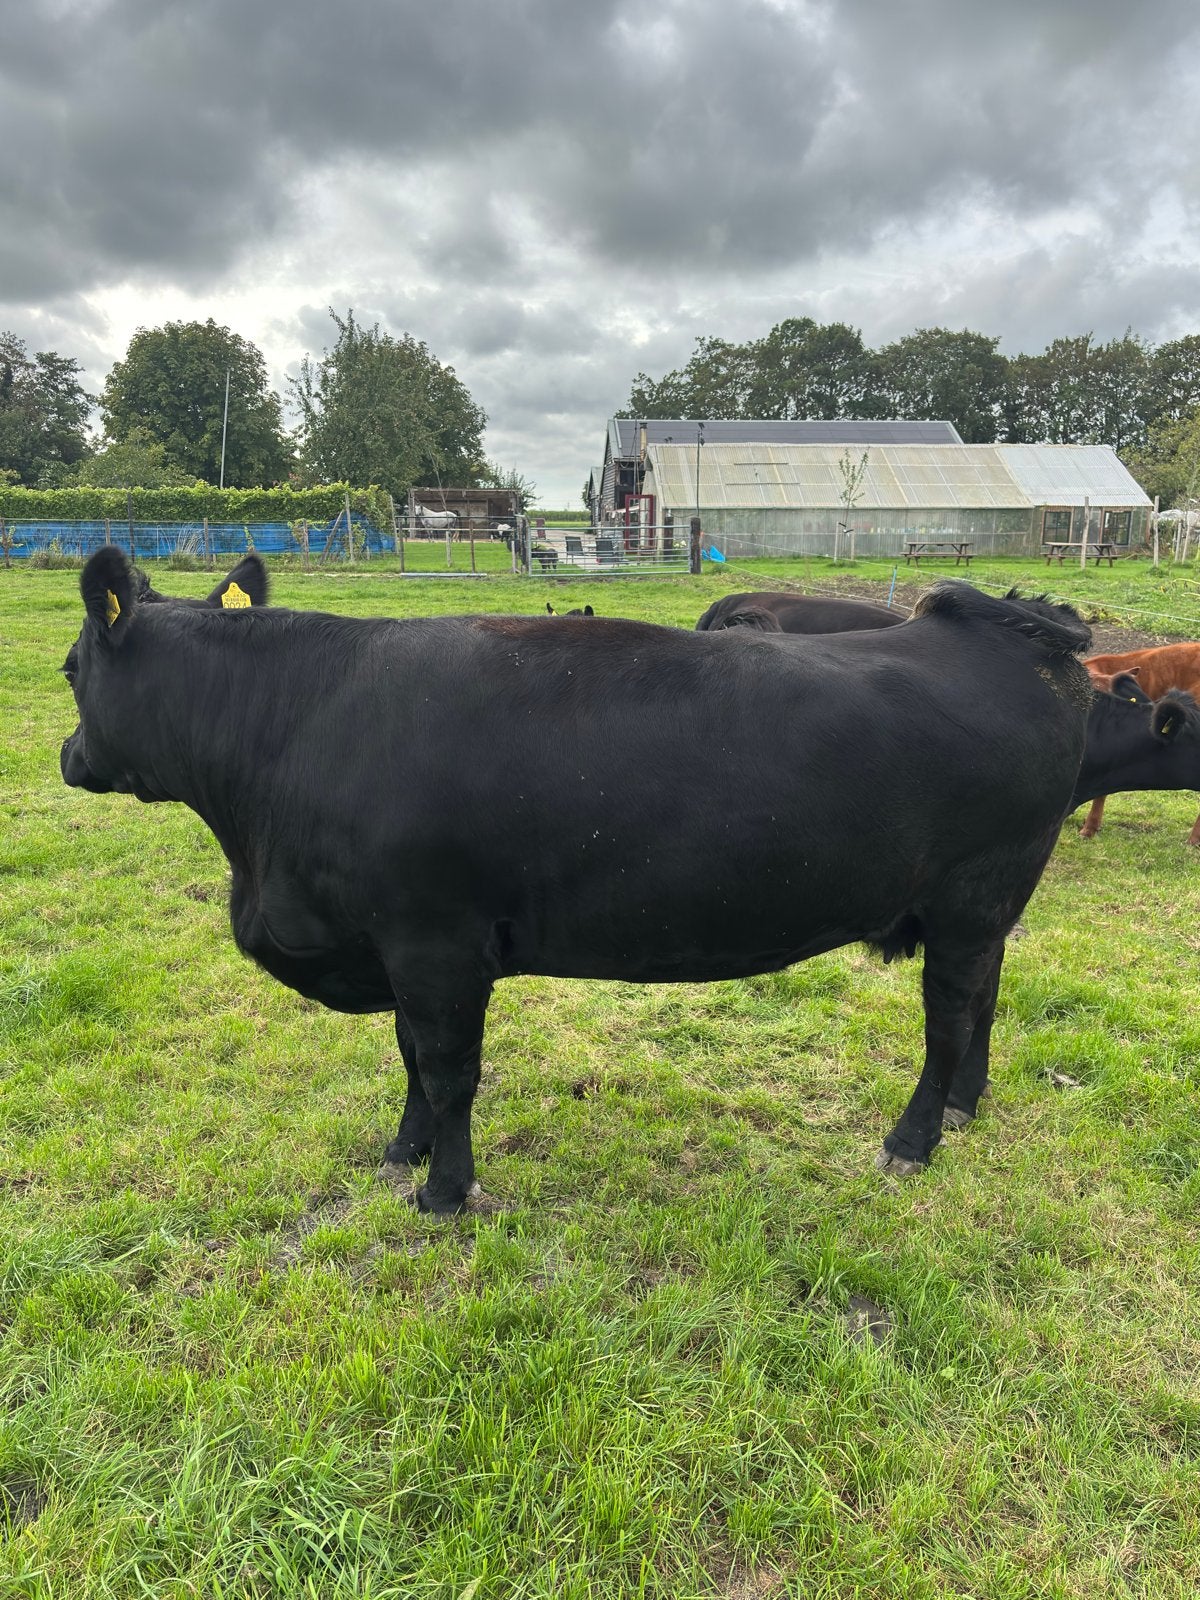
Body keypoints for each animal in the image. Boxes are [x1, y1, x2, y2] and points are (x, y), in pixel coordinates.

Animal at [60, 551, 1093, 1213]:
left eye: (71, 671)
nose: (68, 756)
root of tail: (1019, 635)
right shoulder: (398, 948)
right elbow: (409, 1057)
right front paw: (402, 1154)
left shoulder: (435, 943)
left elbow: (449, 1069)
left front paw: (446, 1191)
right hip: (986, 911)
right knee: (986, 1000)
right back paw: (965, 1105)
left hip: (971, 899)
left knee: (948, 1019)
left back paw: (914, 1140)